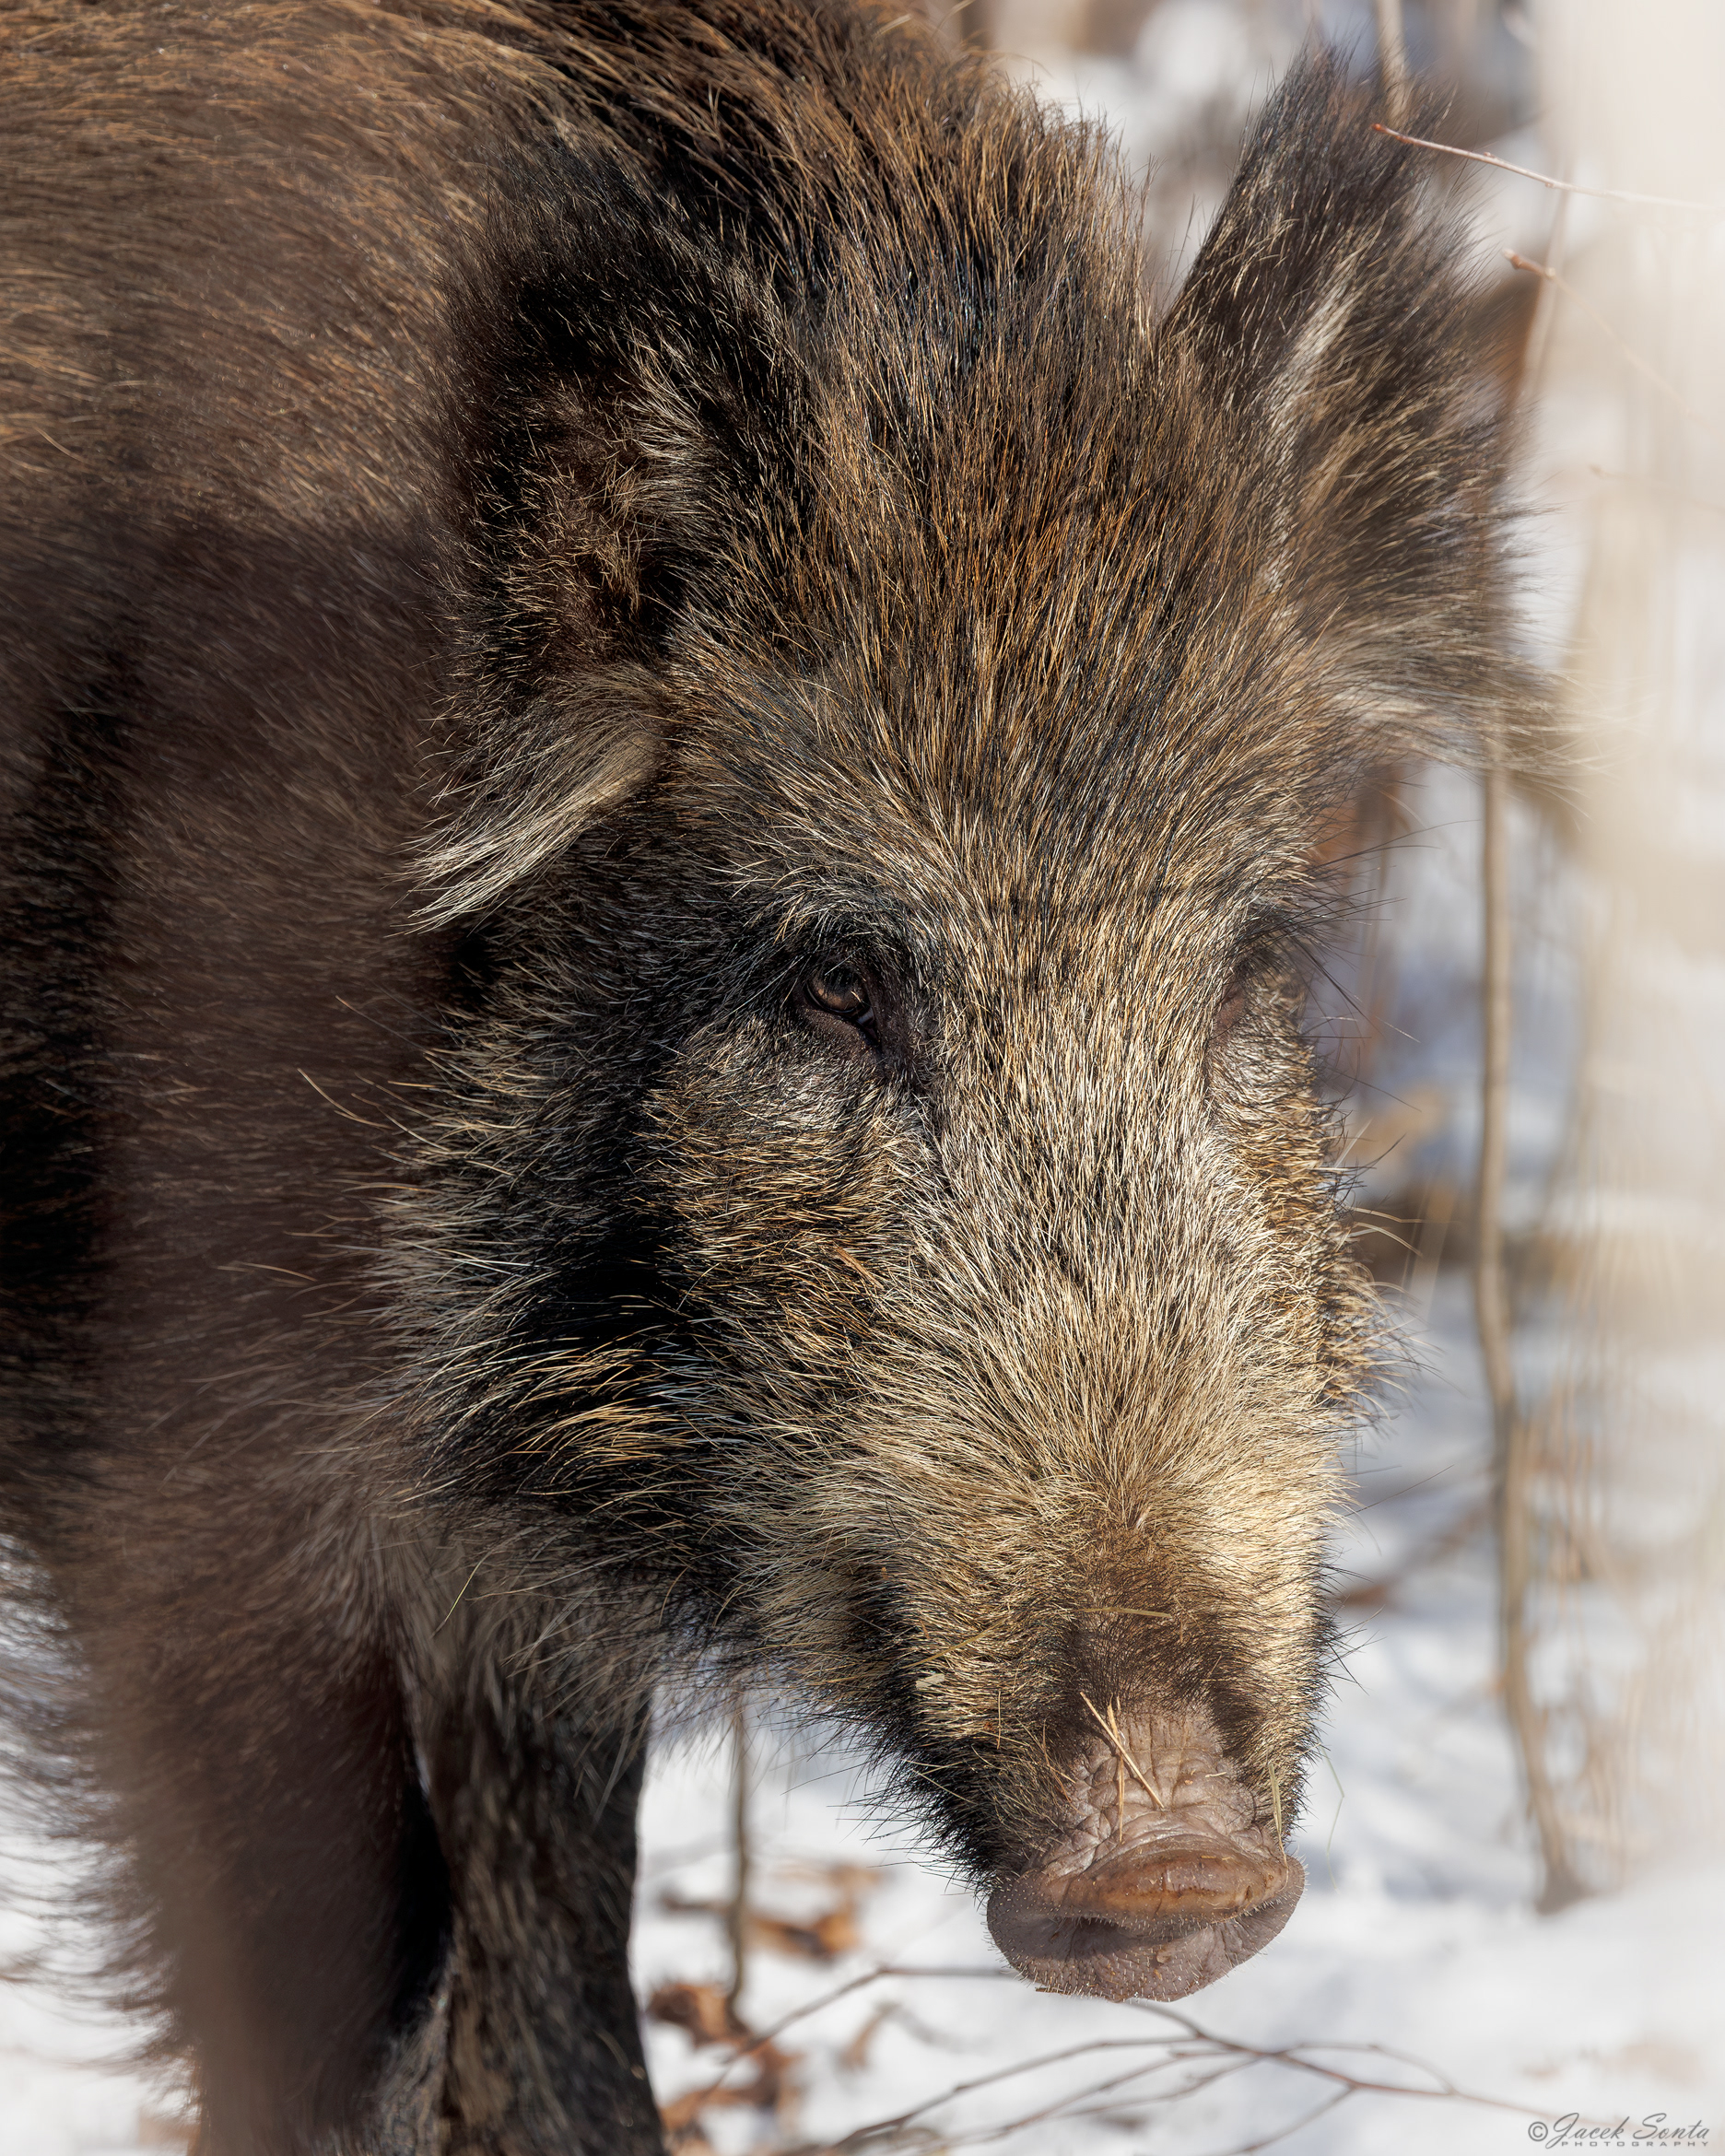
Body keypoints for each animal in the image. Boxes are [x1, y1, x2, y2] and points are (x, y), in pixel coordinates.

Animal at [0, 0, 1520, 2148]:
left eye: (1244, 972)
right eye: (835, 982)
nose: (1176, 1865)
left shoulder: (507, 1588)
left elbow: (560, 1983)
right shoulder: (159, 1448)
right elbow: (365, 1994)